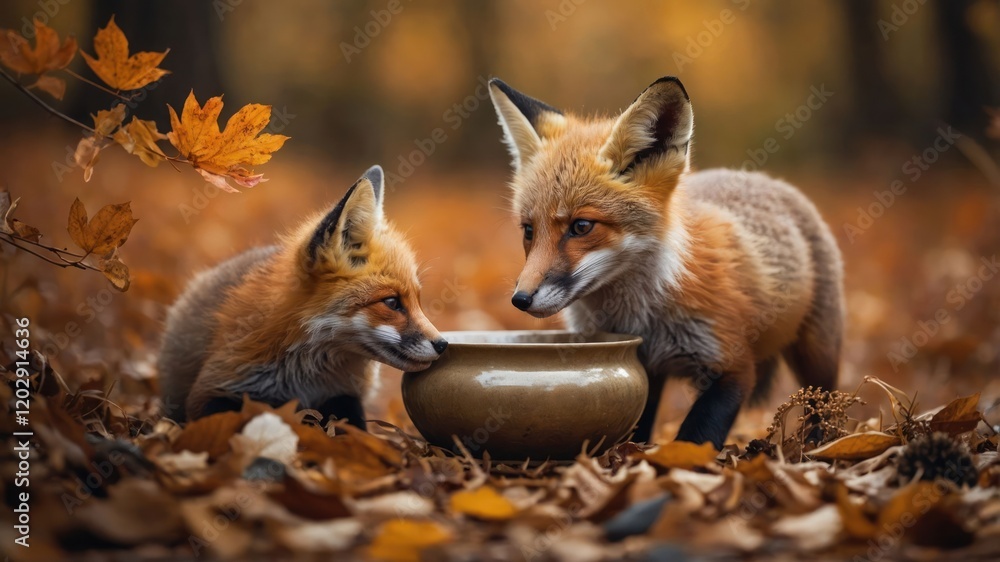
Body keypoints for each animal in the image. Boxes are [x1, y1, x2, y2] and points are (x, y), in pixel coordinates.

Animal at [158, 165, 448, 427]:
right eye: (391, 302)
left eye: (418, 300)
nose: (443, 344)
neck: (302, 380)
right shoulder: (214, 389)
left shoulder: (343, 396)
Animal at [488, 76, 844, 449]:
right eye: (529, 230)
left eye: (581, 226)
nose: (520, 299)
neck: (645, 318)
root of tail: (764, 179)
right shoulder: (644, 366)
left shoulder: (732, 364)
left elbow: (695, 437)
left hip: (817, 353)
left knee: (822, 402)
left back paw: (819, 442)